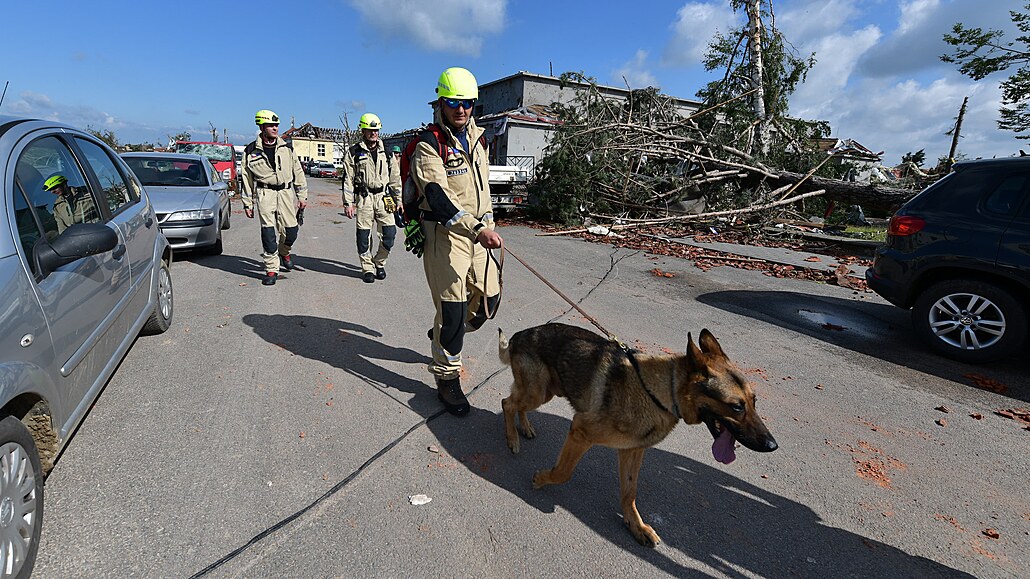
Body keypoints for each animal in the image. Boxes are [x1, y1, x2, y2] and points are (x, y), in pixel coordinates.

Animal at [496, 325, 774, 543]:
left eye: (754, 402)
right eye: (736, 407)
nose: (773, 445)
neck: (659, 392)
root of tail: (520, 334)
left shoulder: (632, 450)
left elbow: (630, 492)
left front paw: (635, 525)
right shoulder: (580, 431)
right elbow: (563, 472)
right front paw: (542, 479)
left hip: (544, 392)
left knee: (516, 404)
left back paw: (525, 428)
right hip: (538, 392)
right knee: (507, 403)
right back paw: (512, 439)